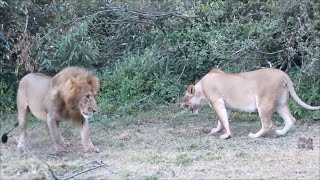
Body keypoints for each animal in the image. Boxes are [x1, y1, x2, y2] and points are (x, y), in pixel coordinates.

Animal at [182, 67, 320, 139]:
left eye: (185, 101)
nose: (182, 106)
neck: (201, 88)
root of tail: (282, 73)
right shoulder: (226, 106)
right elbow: (221, 120)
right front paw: (216, 130)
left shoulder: (217, 102)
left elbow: (222, 119)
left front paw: (226, 135)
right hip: (280, 103)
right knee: (290, 119)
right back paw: (280, 133)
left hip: (264, 102)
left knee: (268, 124)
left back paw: (254, 135)